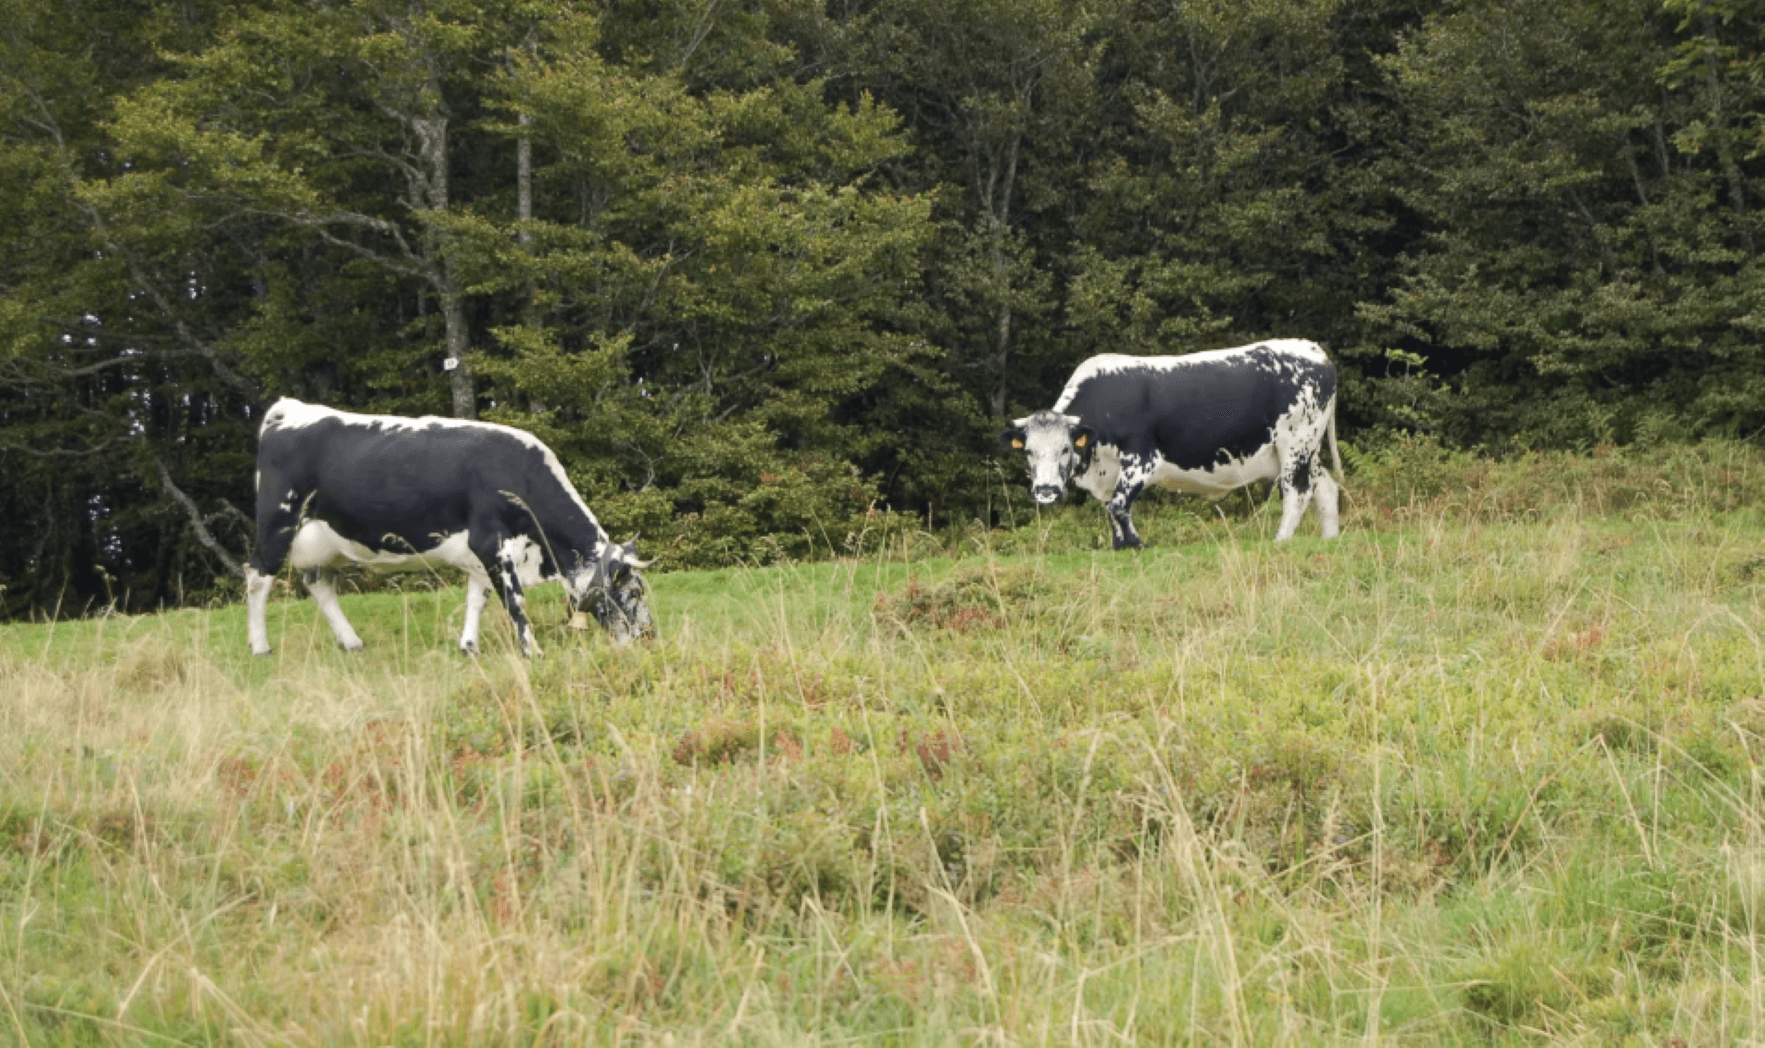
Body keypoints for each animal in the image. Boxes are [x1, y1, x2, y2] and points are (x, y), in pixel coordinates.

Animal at [244, 398, 654, 657]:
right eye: (632, 592)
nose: (650, 638)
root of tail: (289, 409)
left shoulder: (481, 553)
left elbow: (478, 597)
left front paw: (469, 646)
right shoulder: (490, 541)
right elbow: (514, 601)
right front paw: (532, 650)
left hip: (322, 541)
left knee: (318, 583)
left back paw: (352, 641)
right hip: (277, 524)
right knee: (257, 577)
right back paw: (260, 646)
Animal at [1000, 339, 1343, 550]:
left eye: (1065, 449)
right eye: (1028, 451)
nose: (1045, 491)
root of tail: (1310, 347)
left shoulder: (1141, 458)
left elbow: (1118, 506)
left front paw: (1137, 544)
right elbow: (1112, 510)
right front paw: (1119, 546)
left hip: (1295, 444)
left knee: (1297, 491)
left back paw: (1281, 539)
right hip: (1307, 449)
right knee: (1325, 488)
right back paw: (1331, 539)